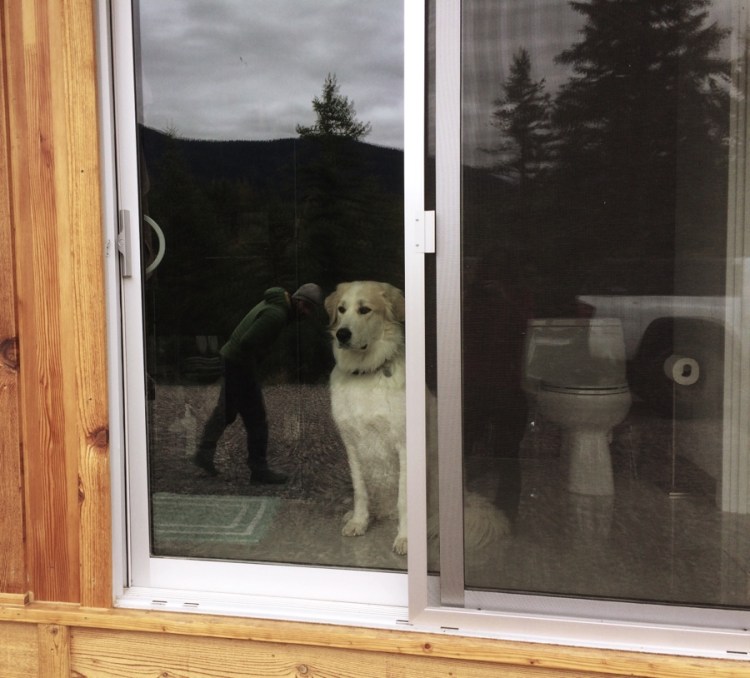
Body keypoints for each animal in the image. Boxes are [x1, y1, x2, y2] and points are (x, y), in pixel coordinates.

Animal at [326, 280, 511, 557]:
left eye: (365, 310)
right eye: (341, 309)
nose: (342, 334)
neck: (366, 372)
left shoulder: (404, 446)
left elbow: (405, 500)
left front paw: (405, 539)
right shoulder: (352, 445)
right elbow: (360, 491)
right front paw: (359, 522)